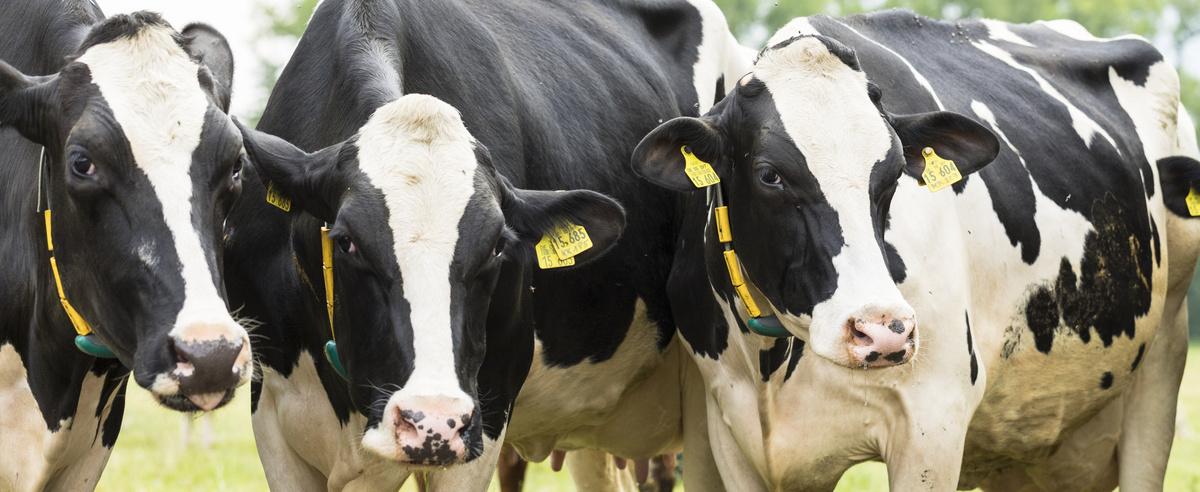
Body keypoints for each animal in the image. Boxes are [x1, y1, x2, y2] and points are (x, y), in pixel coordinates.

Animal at [632, 10, 1200, 491]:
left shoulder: (933, 420)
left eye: (892, 175)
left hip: (1164, 358)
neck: (775, 364)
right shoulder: (730, 430)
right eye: (770, 175)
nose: (882, 330)